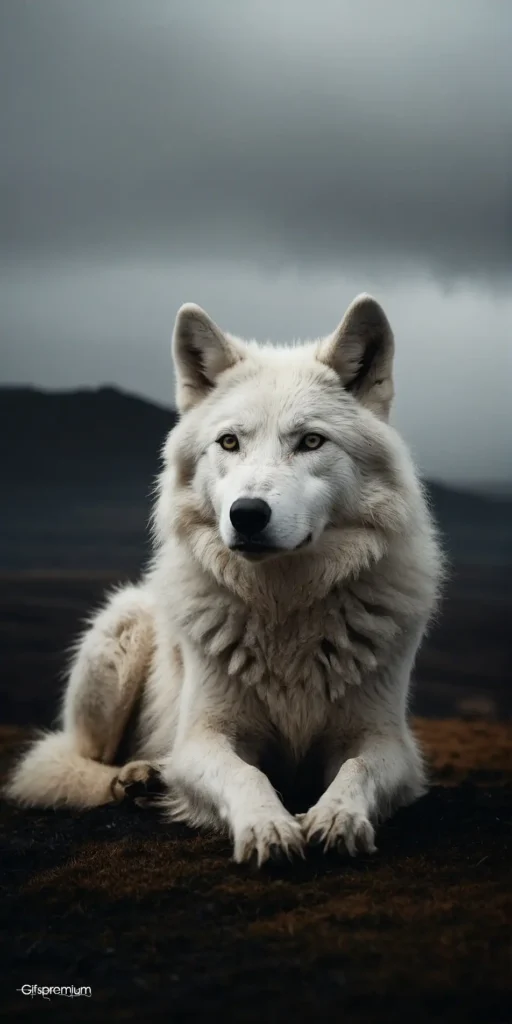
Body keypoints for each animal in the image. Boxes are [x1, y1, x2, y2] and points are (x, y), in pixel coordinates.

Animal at [5, 294, 443, 865]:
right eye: (229, 442)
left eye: (311, 441)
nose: (247, 514)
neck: (283, 609)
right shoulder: (201, 738)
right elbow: (245, 774)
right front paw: (267, 826)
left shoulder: (387, 740)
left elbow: (357, 770)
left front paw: (337, 817)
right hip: (122, 636)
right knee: (70, 762)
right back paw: (137, 777)